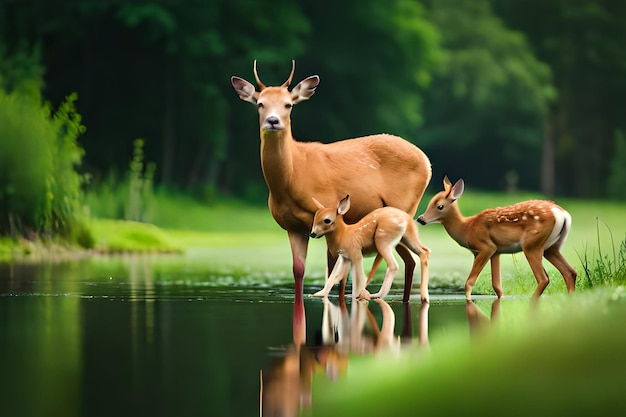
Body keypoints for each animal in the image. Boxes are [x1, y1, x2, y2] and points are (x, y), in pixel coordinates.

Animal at [229, 61, 428, 342]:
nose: (273, 121)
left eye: (288, 104)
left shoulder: (330, 218)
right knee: (409, 259)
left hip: (405, 207)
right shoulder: (294, 227)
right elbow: (298, 270)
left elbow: (335, 269)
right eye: (260, 103)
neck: (292, 177)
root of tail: (427, 161)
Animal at [414, 176, 576, 300]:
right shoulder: (496, 252)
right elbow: (497, 286)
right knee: (570, 272)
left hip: (531, 245)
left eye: (440, 206)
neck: (466, 228)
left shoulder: (486, 247)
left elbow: (469, 282)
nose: (421, 219)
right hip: (552, 247)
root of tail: (562, 214)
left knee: (543, 278)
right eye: (430, 202)